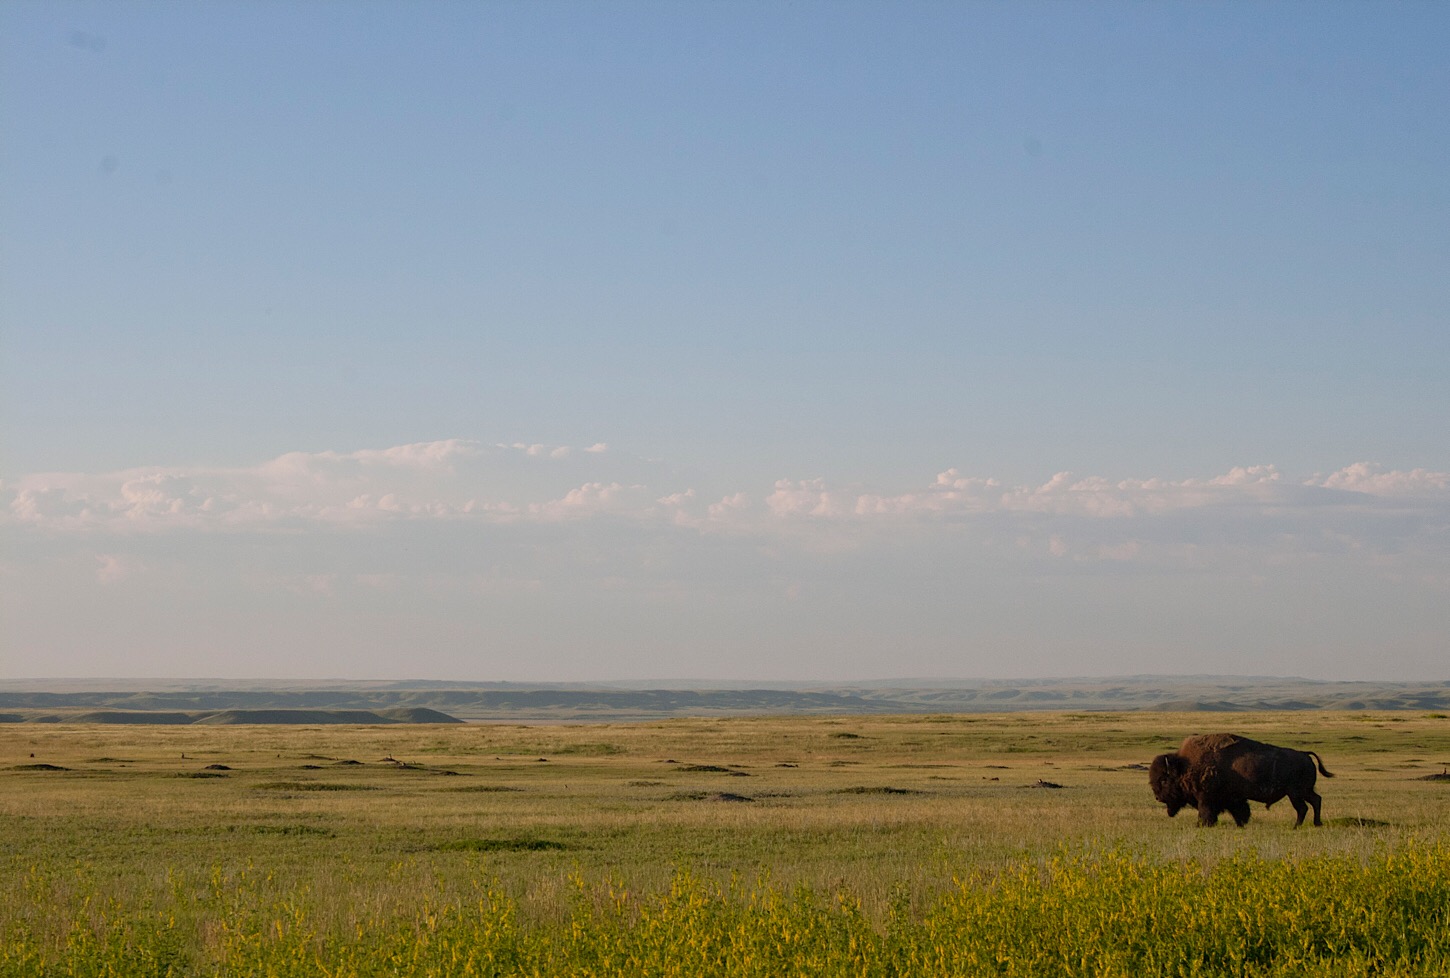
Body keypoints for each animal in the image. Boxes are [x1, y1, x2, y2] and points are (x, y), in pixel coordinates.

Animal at [1142, 731, 1334, 824]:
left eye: (1164, 779)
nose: (1158, 797)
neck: (1185, 765)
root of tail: (1304, 754)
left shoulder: (1206, 799)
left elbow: (1206, 813)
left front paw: (1202, 824)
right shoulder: (1234, 799)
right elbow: (1240, 811)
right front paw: (1242, 823)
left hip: (1295, 793)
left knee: (1303, 808)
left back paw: (1296, 826)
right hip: (1304, 791)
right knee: (1316, 800)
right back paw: (1317, 823)